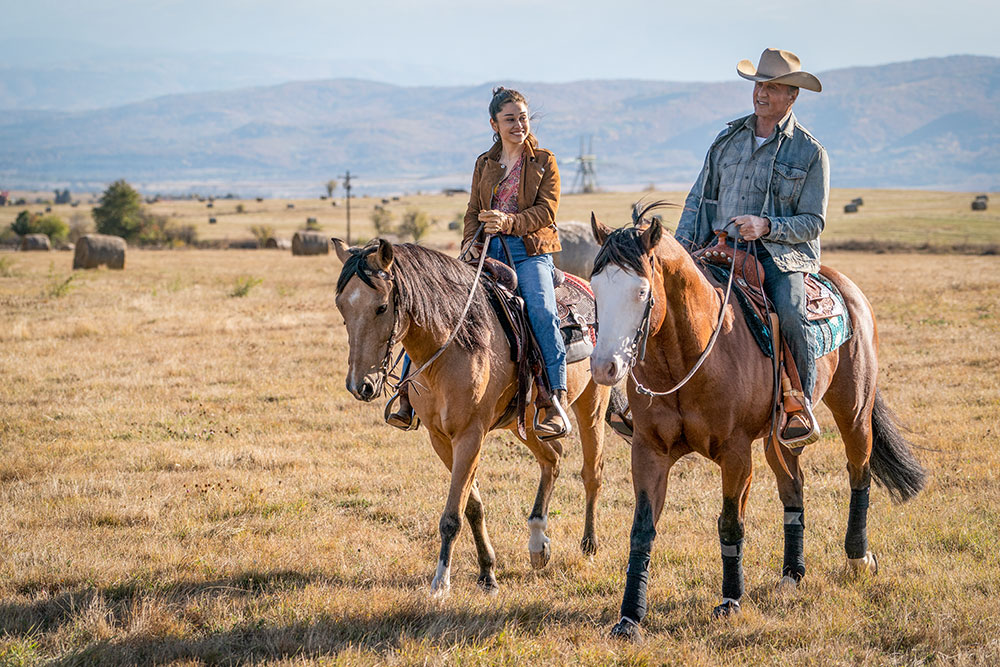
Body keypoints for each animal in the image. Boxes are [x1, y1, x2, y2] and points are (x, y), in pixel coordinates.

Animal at [332, 239, 608, 596]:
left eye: (381, 307)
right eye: (341, 307)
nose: (360, 386)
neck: (454, 344)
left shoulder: (470, 435)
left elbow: (453, 515)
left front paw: (440, 583)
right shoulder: (440, 438)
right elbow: (472, 506)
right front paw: (487, 573)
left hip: (592, 405)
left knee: (592, 472)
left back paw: (589, 544)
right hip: (524, 422)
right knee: (553, 459)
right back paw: (538, 544)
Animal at [588, 207, 924, 640]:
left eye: (642, 293)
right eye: (596, 287)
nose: (604, 367)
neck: (691, 356)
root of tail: (845, 287)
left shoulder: (735, 455)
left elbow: (731, 523)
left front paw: (731, 600)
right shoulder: (649, 452)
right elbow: (642, 531)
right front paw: (630, 617)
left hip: (854, 410)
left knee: (859, 472)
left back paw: (858, 557)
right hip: (780, 437)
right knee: (793, 487)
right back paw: (792, 574)